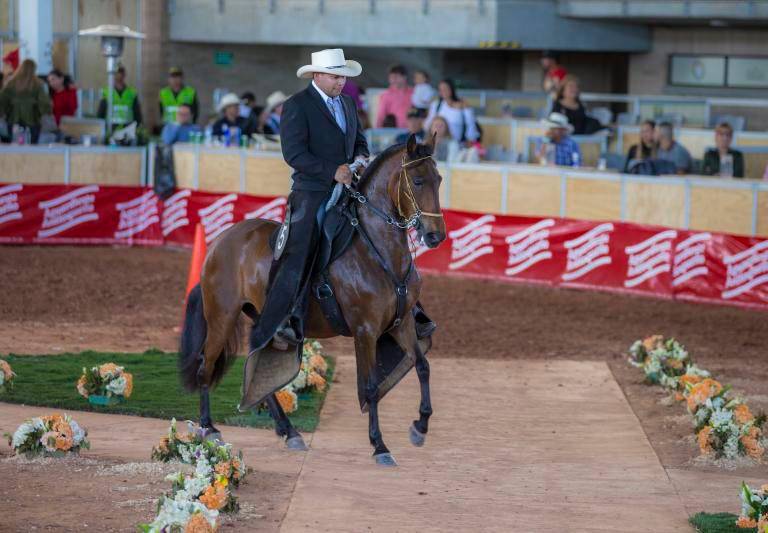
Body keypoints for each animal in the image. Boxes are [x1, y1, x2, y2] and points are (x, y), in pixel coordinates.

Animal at [178, 134, 446, 466]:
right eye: (418, 181)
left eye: (439, 179)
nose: (436, 237)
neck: (377, 251)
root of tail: (220, 242)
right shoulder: (365, 331)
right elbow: (370, 386)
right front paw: (380, 446)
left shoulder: (402, 323)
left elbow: (422, 366)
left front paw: (419, 427)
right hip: (222, 317)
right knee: (206, 365)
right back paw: (209, 429)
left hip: (261, 319)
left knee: (257, 372)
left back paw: (289, 431)